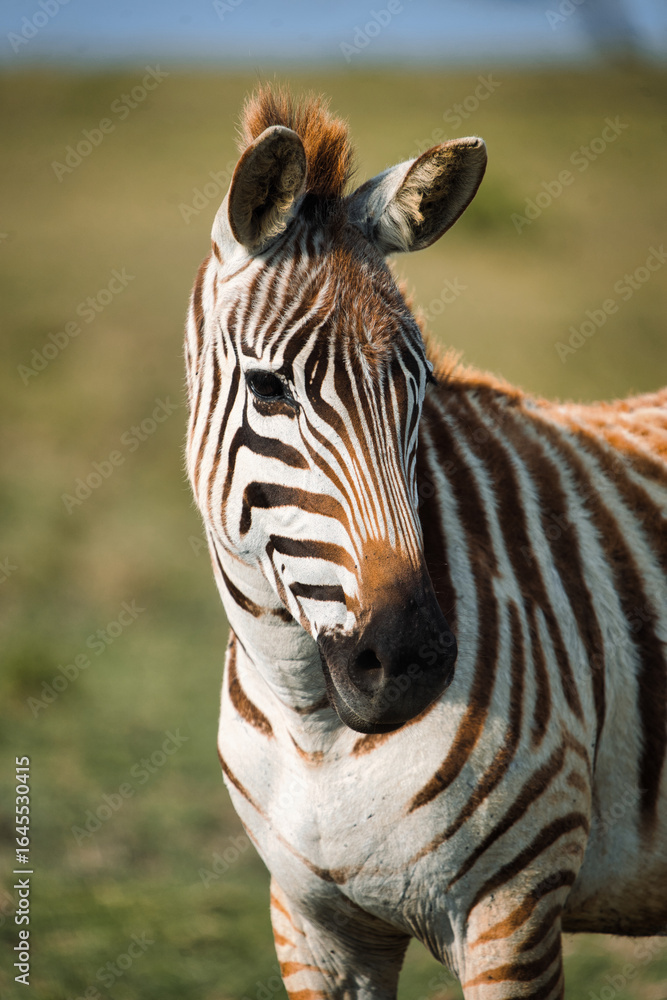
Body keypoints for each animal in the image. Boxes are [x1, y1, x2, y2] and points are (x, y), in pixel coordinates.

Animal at [185, 87, 667, 999]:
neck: (315, 726)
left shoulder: (513, 913)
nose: (408, 660)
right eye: (267, 387)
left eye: (419, 383)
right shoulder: (311, 927)